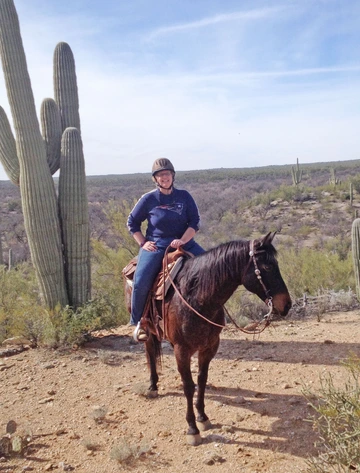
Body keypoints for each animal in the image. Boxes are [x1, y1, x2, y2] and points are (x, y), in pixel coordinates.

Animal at [126, 234, 290, 444]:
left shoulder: (209, 347)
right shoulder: (182, 350)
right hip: (147, 328)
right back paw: (153, 386)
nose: (287, 304)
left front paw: (203, 418)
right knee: (149, 352)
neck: (197, 298)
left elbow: (201, 380)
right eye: (268, 267)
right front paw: (192, 428)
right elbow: (189, 386)